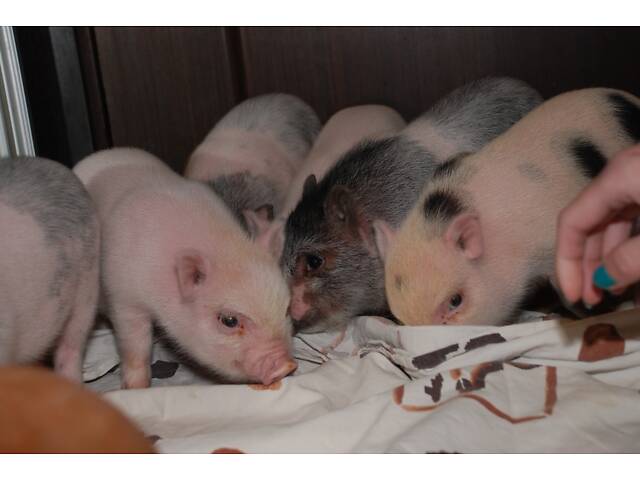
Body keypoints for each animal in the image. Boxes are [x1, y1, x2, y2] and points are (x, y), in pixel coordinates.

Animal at [73, 148, 296, 388]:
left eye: (286, 309)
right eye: (229, 321)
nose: (287, 366)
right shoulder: (124, 298)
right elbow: (135, 347)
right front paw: (136, 388)